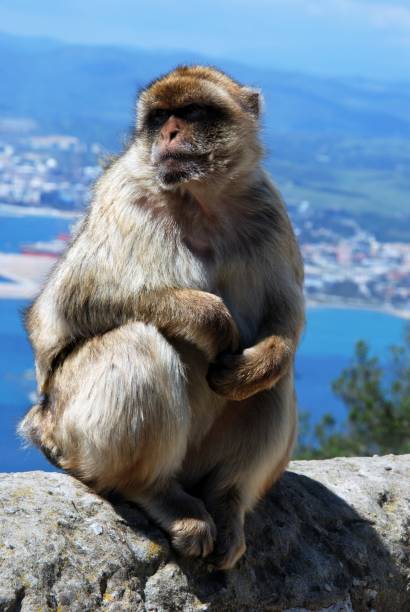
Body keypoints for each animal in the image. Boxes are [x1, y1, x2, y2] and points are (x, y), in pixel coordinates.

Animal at [20, 67, 304, 568]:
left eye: (191, 112)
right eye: (159, 117)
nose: (170, 133)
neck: (202, 197)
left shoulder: (270, 210)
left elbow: (284, 318)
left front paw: (258, 362)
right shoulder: (126, 194)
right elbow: (76, 299)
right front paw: (213, 321)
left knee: (274, 382)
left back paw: (228, 501)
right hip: (67, 431)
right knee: (137, 342)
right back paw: (157, 494)